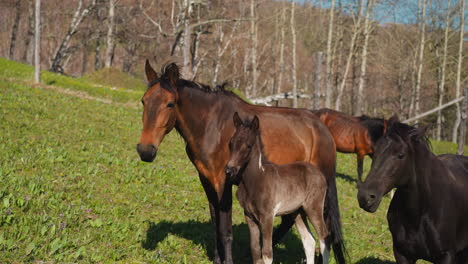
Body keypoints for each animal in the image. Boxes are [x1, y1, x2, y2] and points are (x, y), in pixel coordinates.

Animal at [225, 113, 346, 264]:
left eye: (248, 146)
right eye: (230, 143)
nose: (229, 170)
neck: (255, 180)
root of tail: (320, 174)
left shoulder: (267, 216)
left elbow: (267, 254)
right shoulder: (249, 216)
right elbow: (255, 251)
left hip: (314, 208)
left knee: (325, 238)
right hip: (298, 212)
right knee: (309, 241)